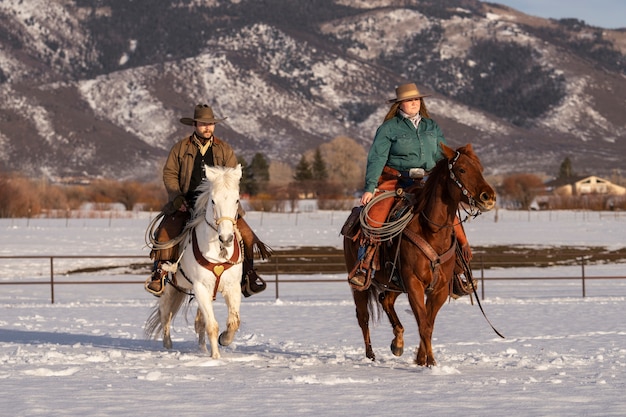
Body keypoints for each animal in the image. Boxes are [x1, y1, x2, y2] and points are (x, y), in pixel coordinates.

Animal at [146, 164, 244, 356]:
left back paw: (202, 347)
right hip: (170, 287)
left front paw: (224, 340)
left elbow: (233, 322)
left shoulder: (232, 287)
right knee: (165, 314)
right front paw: (215, 357)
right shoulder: (201, 288)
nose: (226, 238)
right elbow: (212, 326)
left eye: (236, 200)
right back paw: (168, 346)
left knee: (198, 322)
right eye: (213, 201)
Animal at [344, 143, 494, 364]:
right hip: (361, 285)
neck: (431, 231)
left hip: (394, 283)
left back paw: (397, 342)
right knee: (363, 317)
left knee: (385, 300)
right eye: (462, 170)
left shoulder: (439, 289)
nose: (488, 197)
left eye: (480, 169)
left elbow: (429, 323)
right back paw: (370, 355)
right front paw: (430, 363)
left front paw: (421, 359)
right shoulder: (414, 283)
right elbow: (423, 324)